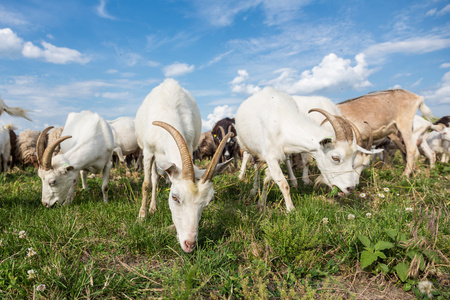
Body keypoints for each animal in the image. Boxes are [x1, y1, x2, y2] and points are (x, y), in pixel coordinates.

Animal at [134, 78, 232, 253]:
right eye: (175, 197)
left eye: (209, 201)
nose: (189, 244)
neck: (169, 111)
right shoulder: (148, 151)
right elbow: (145, 184)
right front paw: (141, 216)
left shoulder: (191, 146)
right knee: (153, 178)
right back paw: (151, 208)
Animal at [236, 87, 372, 211]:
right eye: (335, 157)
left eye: (353, 160)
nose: (351, 188)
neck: (282, 122)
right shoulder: (271, 156)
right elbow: (282, 183)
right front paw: (290, 209)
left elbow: (268, 179)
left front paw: (262, 202)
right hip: (247, 146)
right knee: (252, 162)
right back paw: (250, 186)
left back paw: (293, 182)